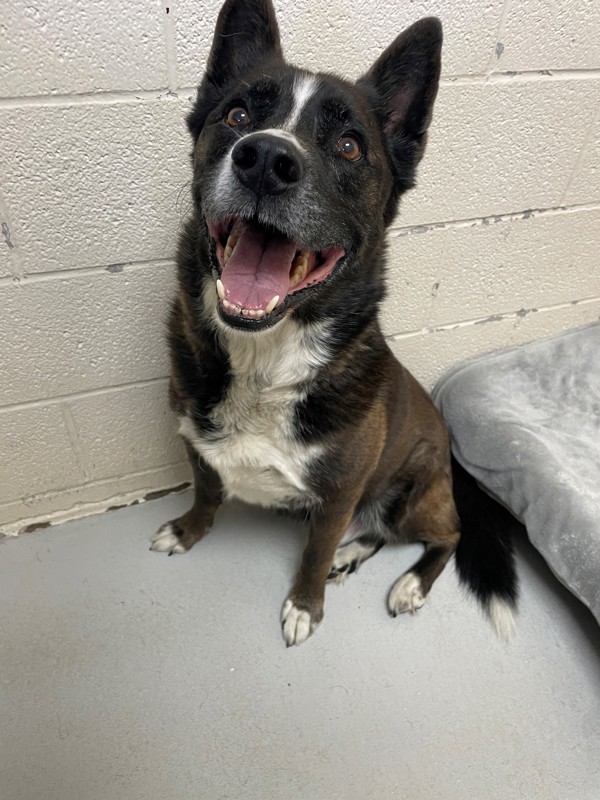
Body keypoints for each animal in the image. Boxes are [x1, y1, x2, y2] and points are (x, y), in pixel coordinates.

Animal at [148, 0, 516, 644]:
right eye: (237, 114)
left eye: (348, 146)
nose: (266, 160)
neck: (265, 360)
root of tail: (453, 462)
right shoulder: (197, 444)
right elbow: (207, 492)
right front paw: (189, 530)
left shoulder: (341, 493)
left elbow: (314, 551)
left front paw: (305, 604)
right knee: (376, 535)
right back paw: (355, 554)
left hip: (411, 494)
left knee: (447, 533)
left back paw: (410, 583)